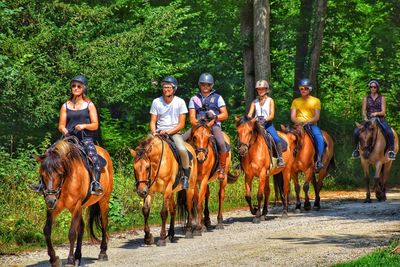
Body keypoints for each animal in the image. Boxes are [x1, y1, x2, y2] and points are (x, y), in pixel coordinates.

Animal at [37, 137, 113, 267]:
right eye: (42, 174)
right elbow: (47, 230)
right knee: (81, 227)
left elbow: (72, 233)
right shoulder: (55, 208)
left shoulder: (76, 205)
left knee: (104, 223)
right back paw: (78, 256)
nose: (50, 200)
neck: (66, 181)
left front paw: (70, 260)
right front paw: (54, 259)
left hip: (103, 201)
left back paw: (103, 252)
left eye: (60, 174)